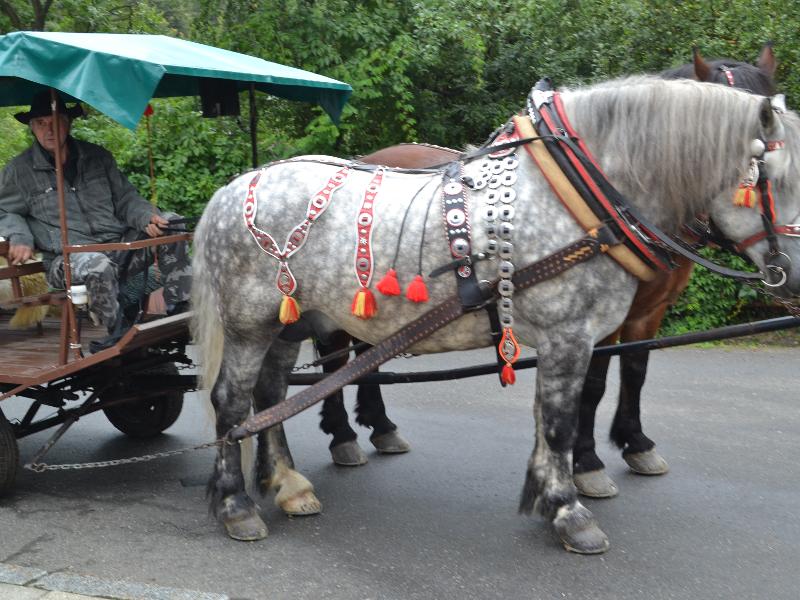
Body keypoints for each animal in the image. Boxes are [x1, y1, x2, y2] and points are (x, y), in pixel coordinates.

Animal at [194, 77, 800, 556]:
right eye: (776, 178)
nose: (794, 277)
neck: (581, 199)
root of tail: (230, 189)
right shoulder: (568, 334)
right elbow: (559, 421)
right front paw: (569, 511)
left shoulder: (585, 335)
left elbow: (552, 416)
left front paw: (548, 494)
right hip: (249, 324)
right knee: (232, 402)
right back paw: (236, 505)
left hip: (289, 321)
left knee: (271, 395)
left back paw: (288, 484)